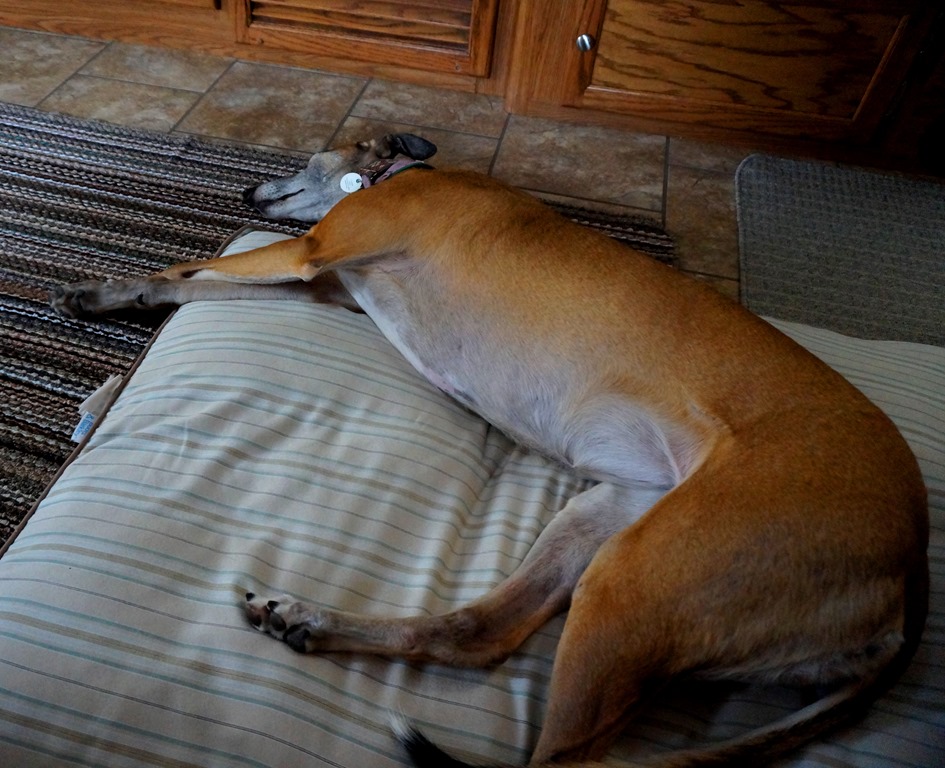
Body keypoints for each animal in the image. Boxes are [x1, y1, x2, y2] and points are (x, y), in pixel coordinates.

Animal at [50, 134, 929, 768]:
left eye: (306, 155)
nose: (244, 192)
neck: (396, 174)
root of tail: (911, 555)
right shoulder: (324, 284)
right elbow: (196, 280)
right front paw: (119, 305)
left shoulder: (310, 255)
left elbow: (196, 261)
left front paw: (113, 290)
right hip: (615, 514)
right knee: (480, 632)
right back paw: (311, 620)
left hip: (641, 578)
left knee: (563, 755)